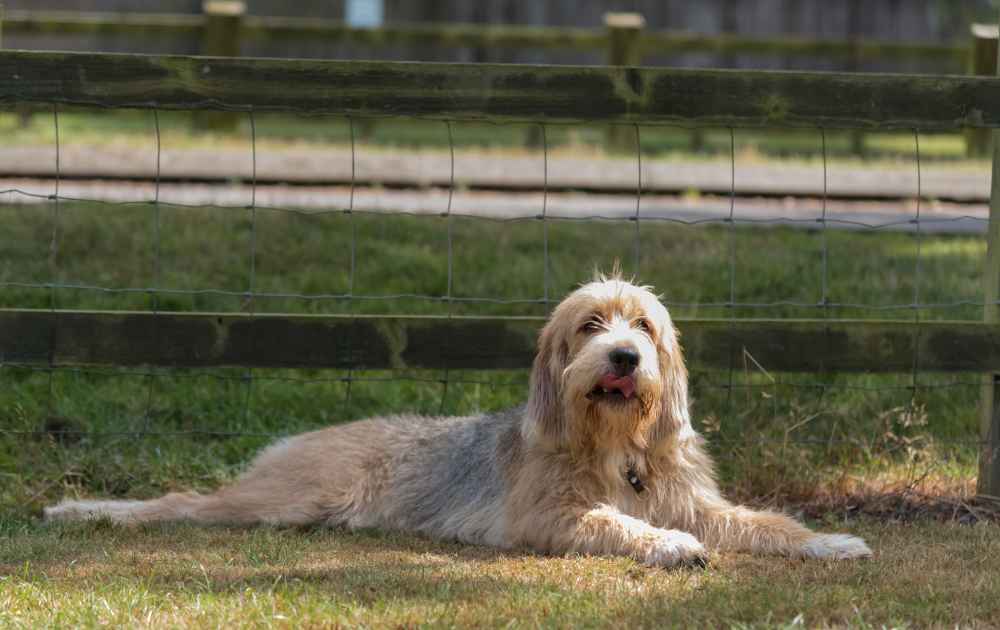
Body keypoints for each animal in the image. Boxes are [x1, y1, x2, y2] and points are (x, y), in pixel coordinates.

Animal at [47, 278, 868, 572]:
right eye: (591, 324)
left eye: (644, 326)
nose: (625, 357)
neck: (615, 447)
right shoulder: (551, 518)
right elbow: (618, 523)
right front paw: (667, 546)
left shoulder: (696, 502)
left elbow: (762, 521)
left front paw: (827, 541)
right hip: (277, 500)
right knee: (180, 502)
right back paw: (82, 510)